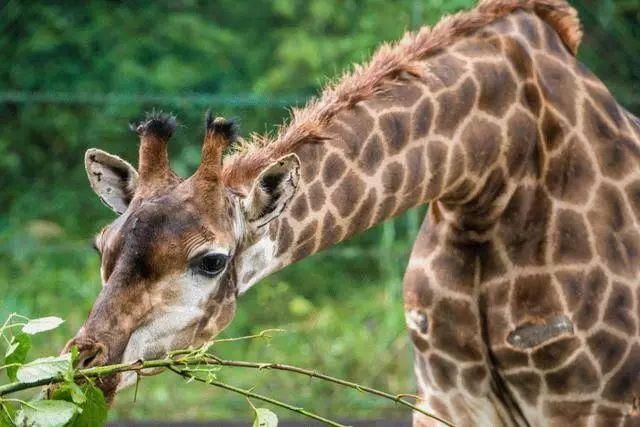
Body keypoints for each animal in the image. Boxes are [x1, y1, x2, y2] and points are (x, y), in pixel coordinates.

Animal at [65, 1, 640, 426]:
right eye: (101, 247)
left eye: (211, 261)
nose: (83, 366)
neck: (489, 179)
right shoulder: (445, 398)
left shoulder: (595, 408)